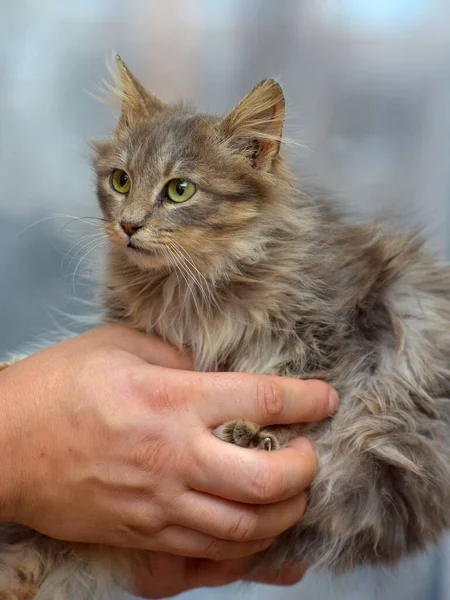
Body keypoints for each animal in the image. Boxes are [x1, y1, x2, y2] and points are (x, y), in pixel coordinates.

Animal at [0, 54, 450, 596]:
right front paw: (13, 364)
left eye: (180, 190)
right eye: (121, 181)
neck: (192, 289)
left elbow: (311, 390)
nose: (128, 225)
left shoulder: (342, 332)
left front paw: (255, 431)